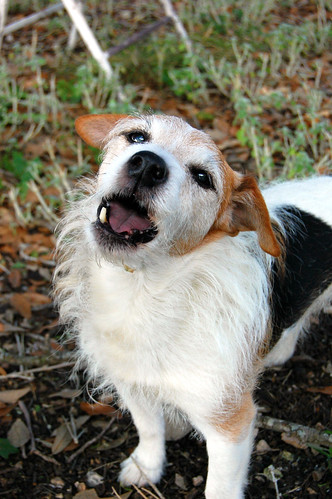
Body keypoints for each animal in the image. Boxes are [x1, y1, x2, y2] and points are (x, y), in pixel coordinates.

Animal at [54, 114, 332, 499]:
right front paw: (148, 465)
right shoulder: (132, 383)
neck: (147, 292)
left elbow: (219, 488)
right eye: (137, 137)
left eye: (203, 177)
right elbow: (149, 428)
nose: (147, 164)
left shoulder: (230, 425)